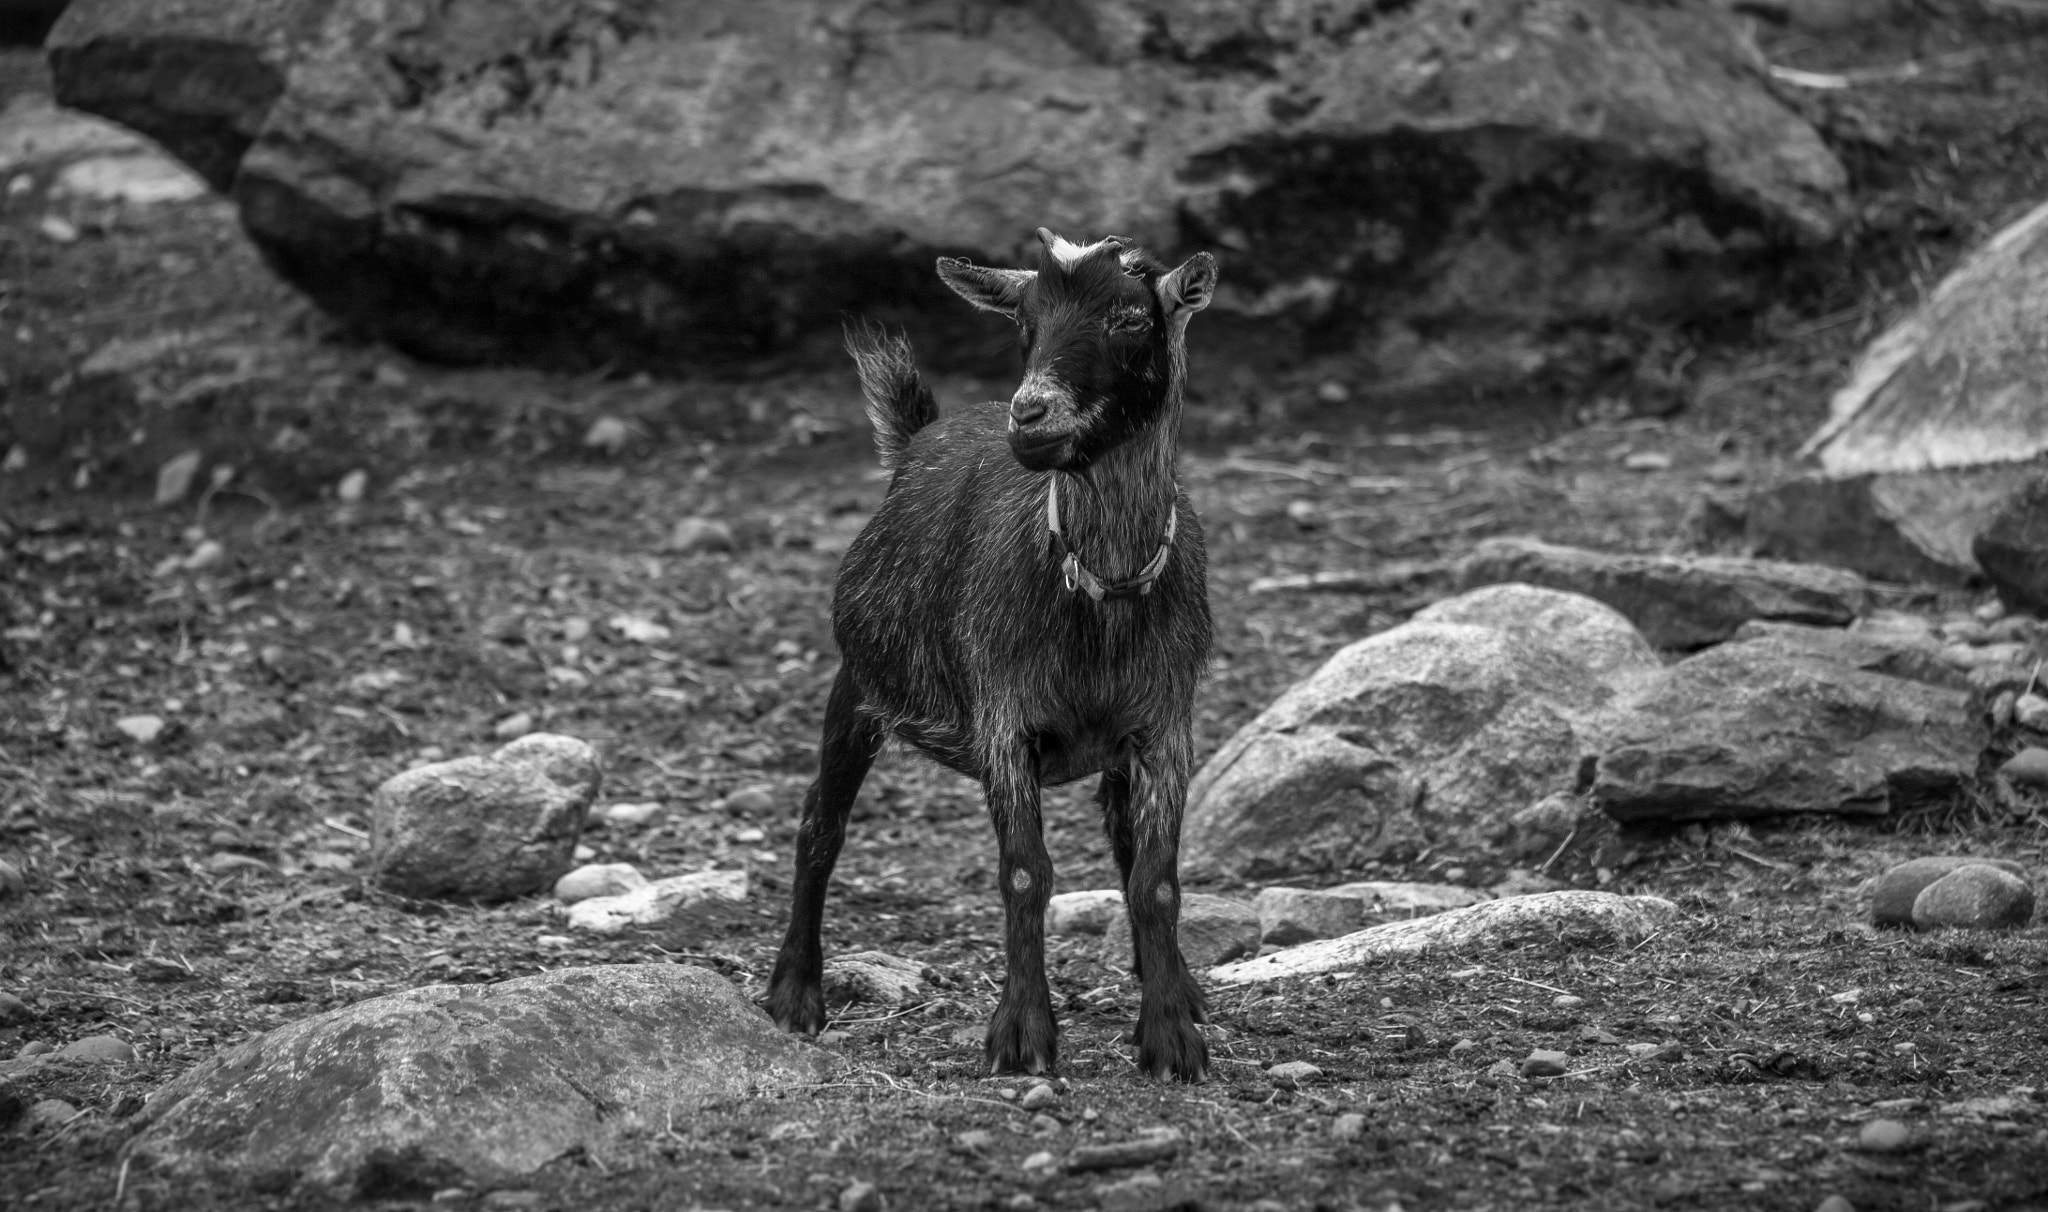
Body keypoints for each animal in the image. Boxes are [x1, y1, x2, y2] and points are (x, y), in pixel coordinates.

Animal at [765, 228, 1219, 1081]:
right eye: (1025, 324)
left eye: (1129, 317)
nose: (1029, 414)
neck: (1100, 587)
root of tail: (918, 437)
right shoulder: (1004, 719)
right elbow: (1024, 872)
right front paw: (1022, 1035)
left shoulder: (1165, 724)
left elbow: (1155, 879)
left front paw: (1173, 1031)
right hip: (861, 681)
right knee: (819, 825)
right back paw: (794, 995)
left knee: (1122, 840)